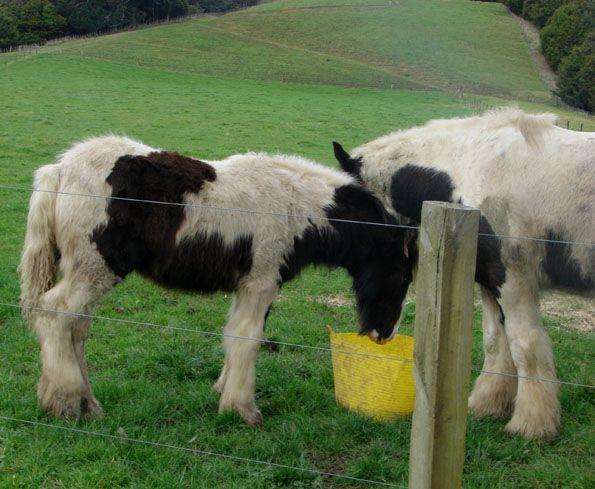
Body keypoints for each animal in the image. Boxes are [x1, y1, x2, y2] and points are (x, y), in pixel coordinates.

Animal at [332, 107, 592, 438]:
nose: (376, 333)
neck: (474, 171)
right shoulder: (490, 281)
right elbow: (496, 342)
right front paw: (486, 405)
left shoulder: (514, 282)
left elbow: (525, 346)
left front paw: (530, 425)